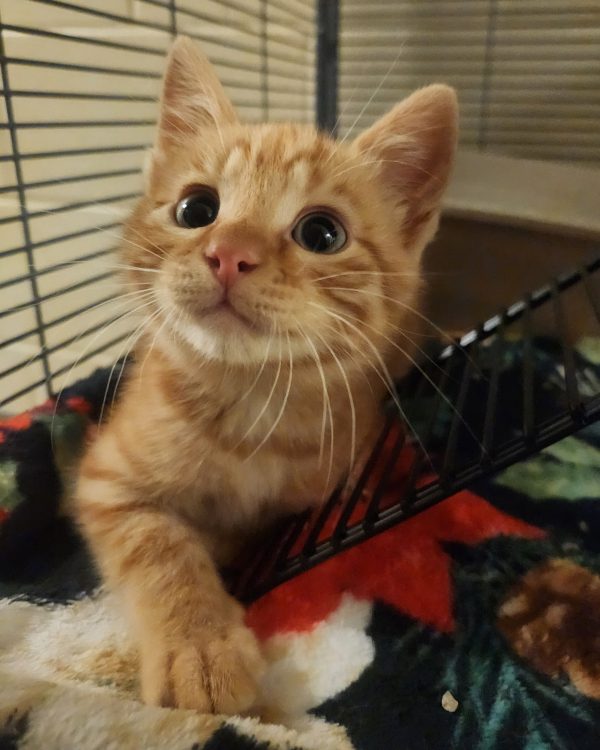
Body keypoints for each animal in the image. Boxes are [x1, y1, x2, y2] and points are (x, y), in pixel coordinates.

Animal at [75, 36, 458, 715]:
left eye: (322, 232)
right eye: (196, 208)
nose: (229, 253)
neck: (249, 406)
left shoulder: (349, 459)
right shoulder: (108, 481)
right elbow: (160, 546)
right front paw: (198, 644)